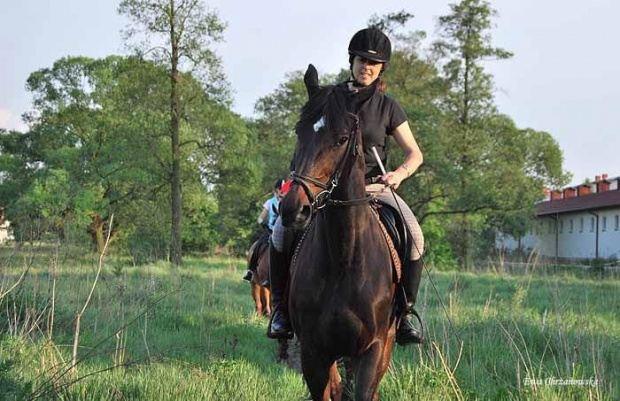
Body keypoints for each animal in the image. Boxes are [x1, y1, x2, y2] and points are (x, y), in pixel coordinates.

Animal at [280, 64, 398, 398]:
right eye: (299, 131)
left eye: (342, 138)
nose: (293, 209)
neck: (345, 257)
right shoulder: (314, 352)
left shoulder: (373, 350)